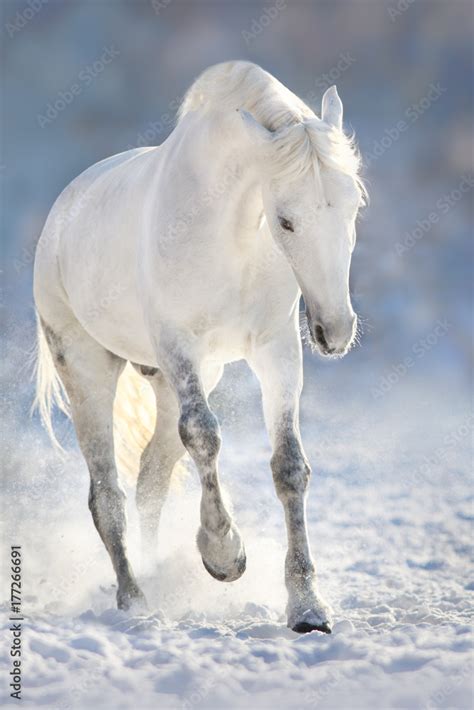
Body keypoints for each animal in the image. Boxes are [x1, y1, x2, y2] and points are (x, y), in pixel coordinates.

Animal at [34, 61, 366, 636]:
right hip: (87, 368)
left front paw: (306, 606)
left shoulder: (276, 350)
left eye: (354, 206)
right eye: (285, 220)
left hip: (174, 382)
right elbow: (205, 436)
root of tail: (61, 214)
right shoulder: (178, 346)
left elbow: (288, 465)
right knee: (107, 495)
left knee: (149, 481)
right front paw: (223, 554)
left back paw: (156, 575)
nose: (336, 328)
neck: (231, 234)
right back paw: (134, 598)